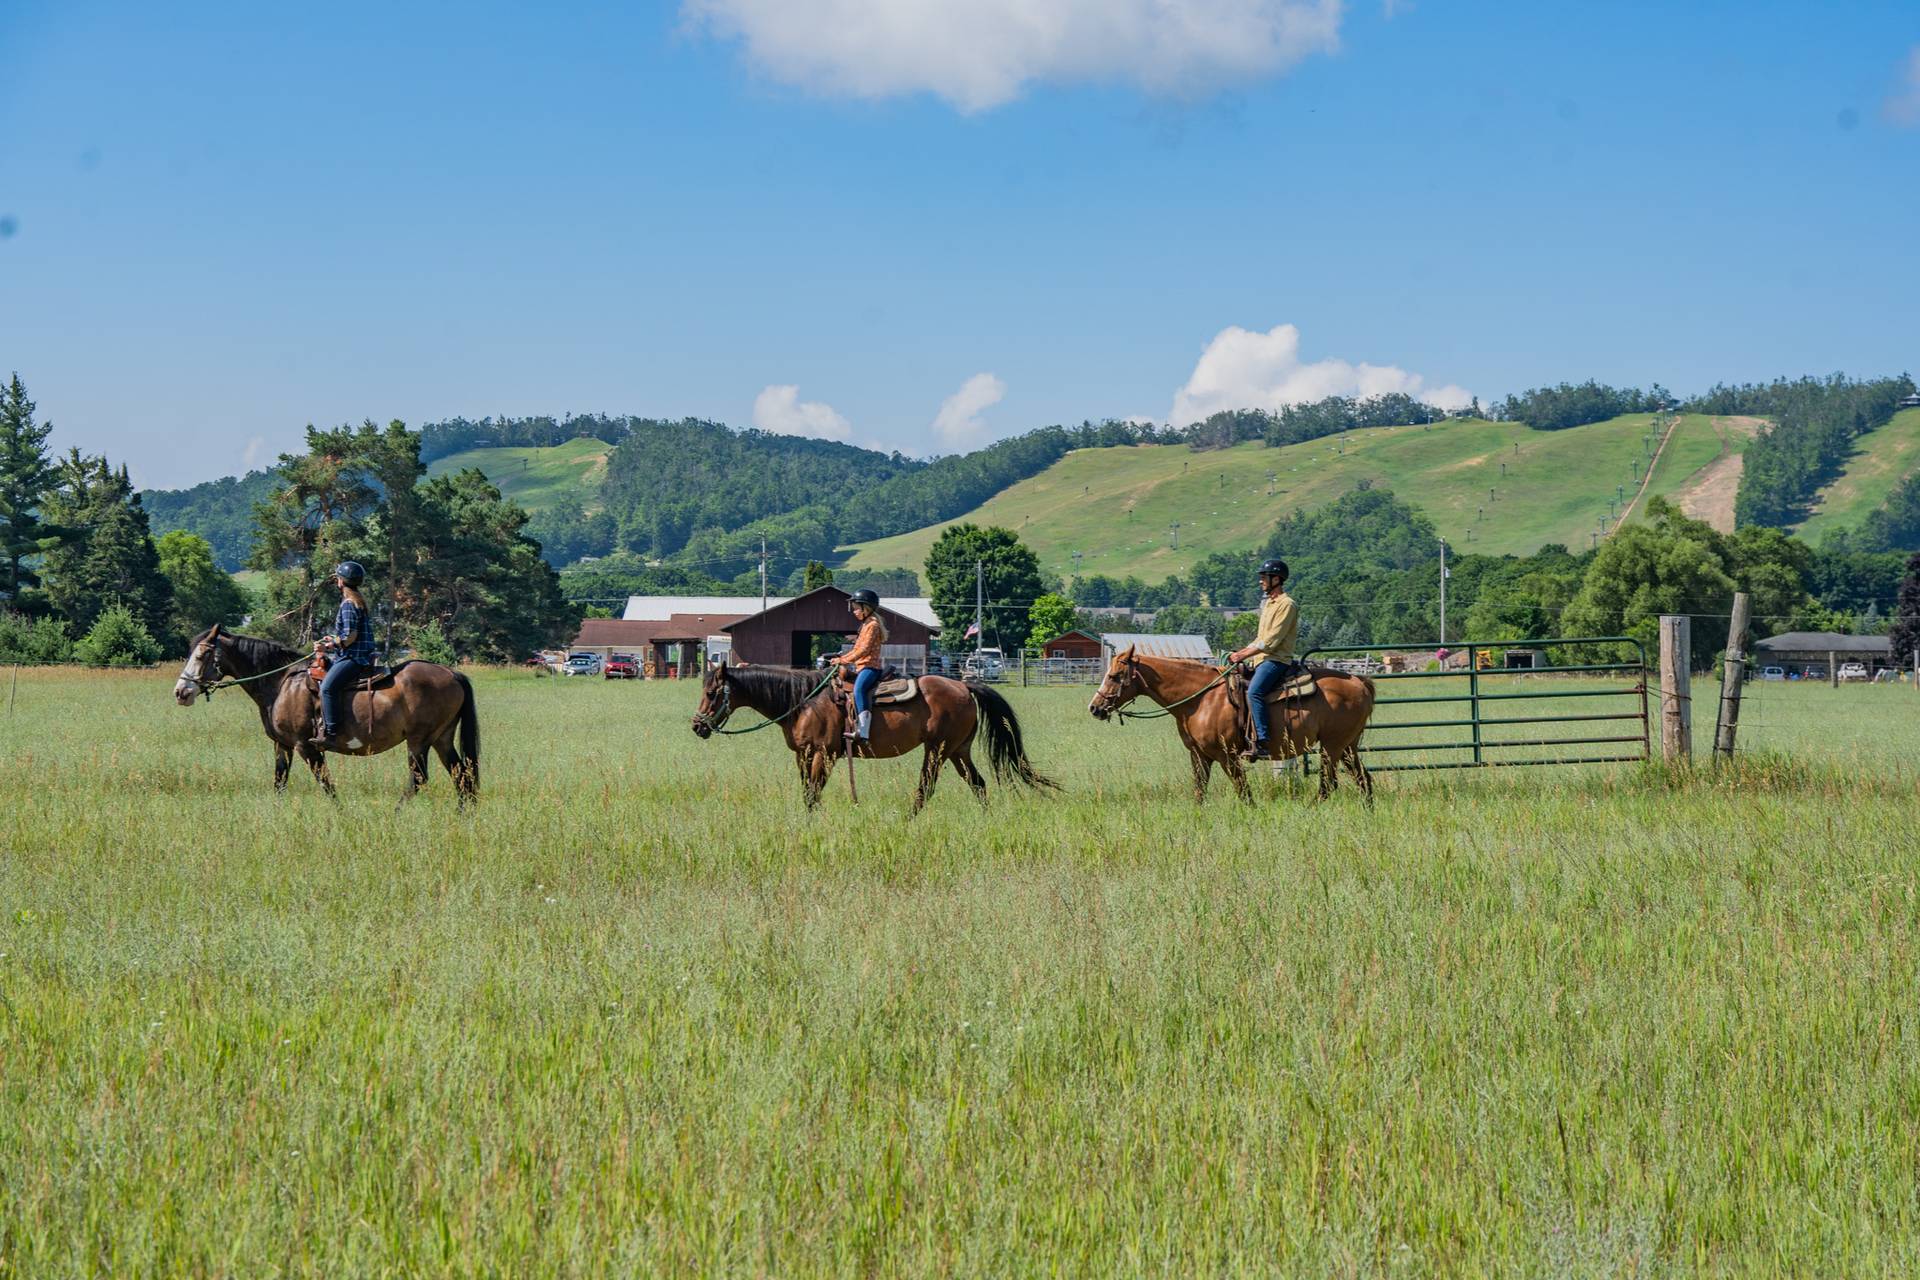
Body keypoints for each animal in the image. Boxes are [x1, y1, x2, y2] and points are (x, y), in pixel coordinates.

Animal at [173, 623, 480, 805]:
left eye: (201, 655)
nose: (181, 692)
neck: (282, 682)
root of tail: (451, 673)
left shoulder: (305, 746)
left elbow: (326, 785)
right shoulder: (282, 745)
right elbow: (279, 782)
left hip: (419, 740)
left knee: (420, 778)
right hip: (442, 738)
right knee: (462, 777)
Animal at [691, 661, 1056, 812]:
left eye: (711, 693)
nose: (697, 726)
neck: (803, 701)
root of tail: (964, 686)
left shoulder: (824, 754)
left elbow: (814, 793)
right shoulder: (802, 754)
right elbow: (807, 793)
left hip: (937, 749)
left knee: (925, 788)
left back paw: (908, 820)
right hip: (958, 750)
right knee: (977, 784)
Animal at [1087, 646, 1376, 802]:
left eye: (1115, 676)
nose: (1095, 708)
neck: (1201, 699)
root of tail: (1359, 681)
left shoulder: (1227, 756)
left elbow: (1243, 791)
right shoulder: (1199, 755)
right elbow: (1199, 792)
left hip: (1332, 746)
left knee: (1329, 784)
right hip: (1348, 747)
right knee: (1364, 779)